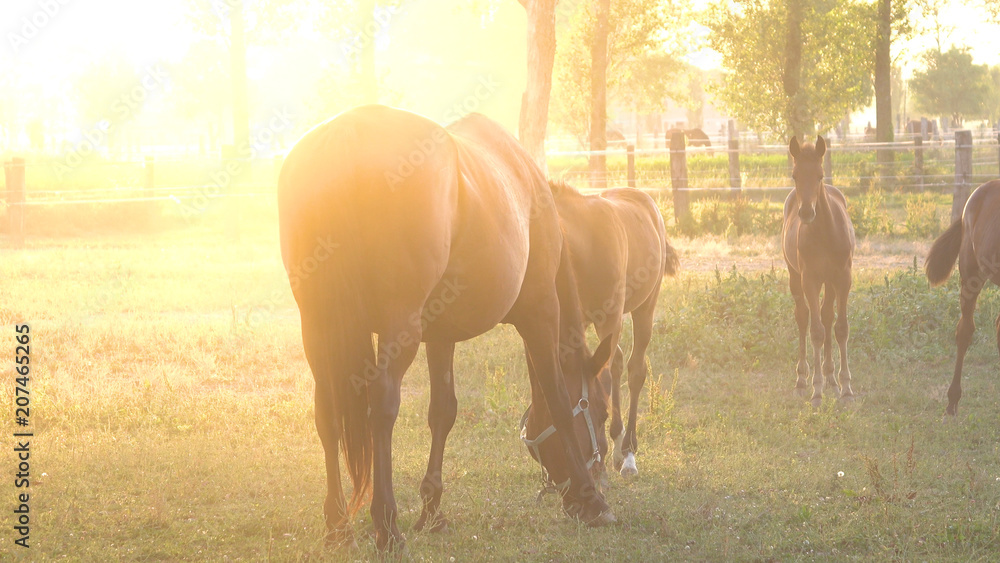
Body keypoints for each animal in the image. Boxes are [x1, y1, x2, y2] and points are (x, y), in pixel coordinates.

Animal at [278, 104, 612, 552]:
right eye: (603, 412)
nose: (597, 477)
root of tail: (352, 131)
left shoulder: (440, 335)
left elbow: (443, 412)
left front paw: (432, 509)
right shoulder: (541, 310)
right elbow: (559, 398)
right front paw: (593, 501)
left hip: (319, 328)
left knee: (326, 413)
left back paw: (337, 525)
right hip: (397, 327)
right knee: (381, 407)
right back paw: (387, 524)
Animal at [548, 182, 680, 480]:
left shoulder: (609, 319)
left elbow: (606, 376)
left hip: (643, 309)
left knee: (634, 369)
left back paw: (628, 452)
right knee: (617, 360)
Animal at [784, 138, 856, 410]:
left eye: (820, 175)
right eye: (795, 175)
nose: (806, 213)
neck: (825, 232)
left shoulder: (843, 279)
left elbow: (841, 328)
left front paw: (846, 389)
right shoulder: (810, 280)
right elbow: (815, 331)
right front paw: (816, 391)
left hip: (831, 282)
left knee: (827, 316)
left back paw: (831, 380)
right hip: (795, 277)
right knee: (803, 317)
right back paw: (802, 381)